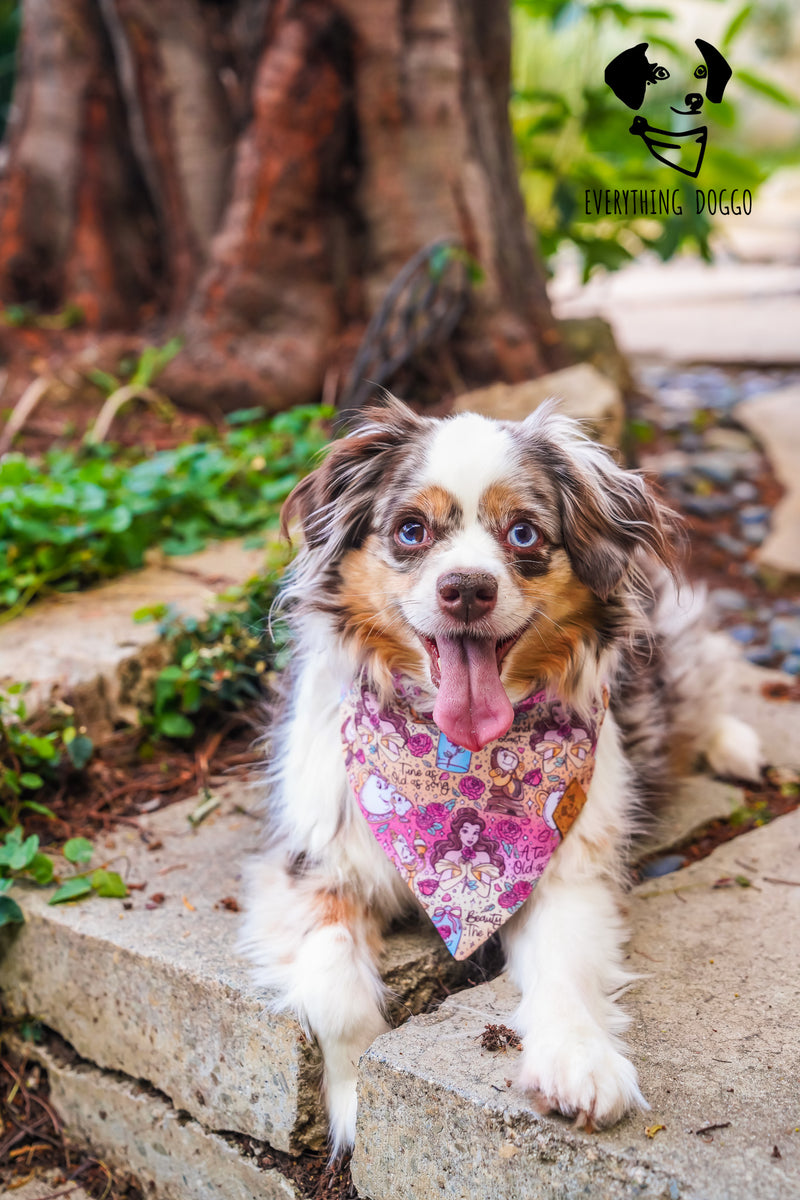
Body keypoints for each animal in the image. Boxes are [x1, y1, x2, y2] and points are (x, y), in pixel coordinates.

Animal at [239, 396, 762, 1152]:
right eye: (411, 530)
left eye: (522, 533)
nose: (466, 589)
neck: (454, 758)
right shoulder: (314, 861)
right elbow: (337, 995)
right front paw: (353, 1100)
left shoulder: (568, 869)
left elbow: (566, 970)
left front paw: (579, 1062)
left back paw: (735, 744)